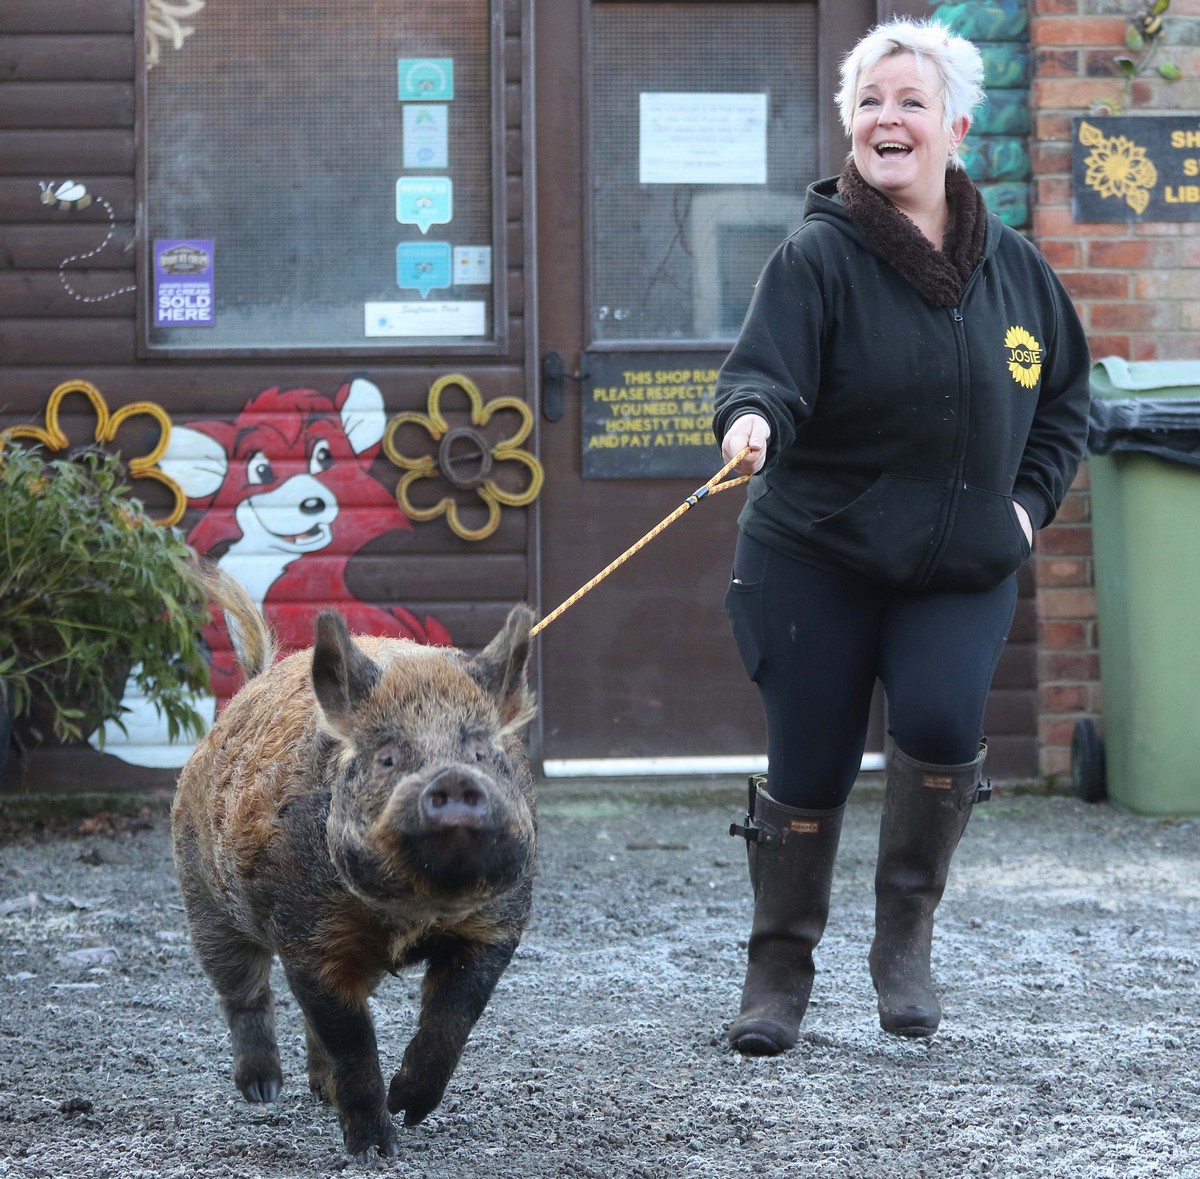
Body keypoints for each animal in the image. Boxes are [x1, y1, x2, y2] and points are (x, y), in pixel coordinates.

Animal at [170, 571, 540, 1162]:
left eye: (482, 751)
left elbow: (452, 1019)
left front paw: (408, 1109)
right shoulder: (309, 937)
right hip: (201, 895)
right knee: (242, 990)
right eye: (386, 756)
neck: (413, 910)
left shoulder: (495, 925)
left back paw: (320, 1094)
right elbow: (352, 1042)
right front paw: (375, 1151)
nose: (454, 778)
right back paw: (262, 1091)